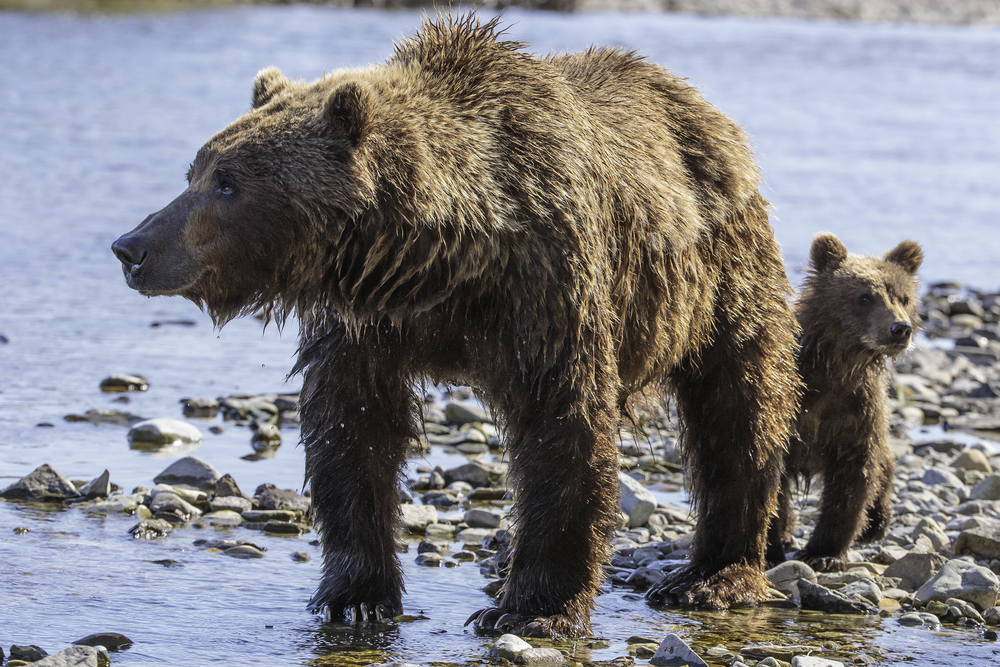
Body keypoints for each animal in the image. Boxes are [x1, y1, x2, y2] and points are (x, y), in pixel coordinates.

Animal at [111, 15, 800, 636]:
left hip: (720, 278)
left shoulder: (547, 288)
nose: (131, 247)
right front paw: (355, 595)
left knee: (738, 412)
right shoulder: (363, 324)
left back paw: (712, 575)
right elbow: (350, 429)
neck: (438, 261)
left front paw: (529, 608)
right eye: (194, 172)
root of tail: (706, 112)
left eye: (228, 183)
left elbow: (563, 428)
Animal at [765, 233, 923, 571]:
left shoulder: (855, 411)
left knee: (883, 464)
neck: (837, 368)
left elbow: (853, 479)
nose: (900, 329)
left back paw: (876, 523)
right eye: (864, 297)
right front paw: (771, 547)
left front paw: (824, 552)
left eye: (903, 297)